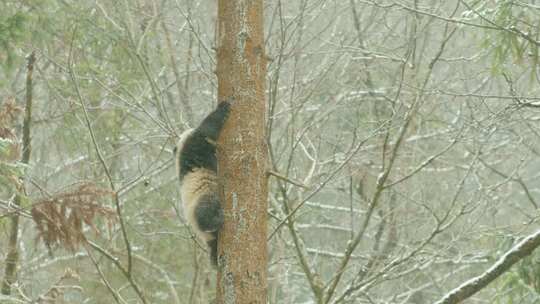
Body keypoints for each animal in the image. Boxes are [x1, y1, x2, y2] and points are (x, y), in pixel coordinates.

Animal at [175, 101, 230, 264]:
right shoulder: (196, 145)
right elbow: (207, 130)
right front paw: (224, 106)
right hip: (203, 196)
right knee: (205, 211)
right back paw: (216, 221)